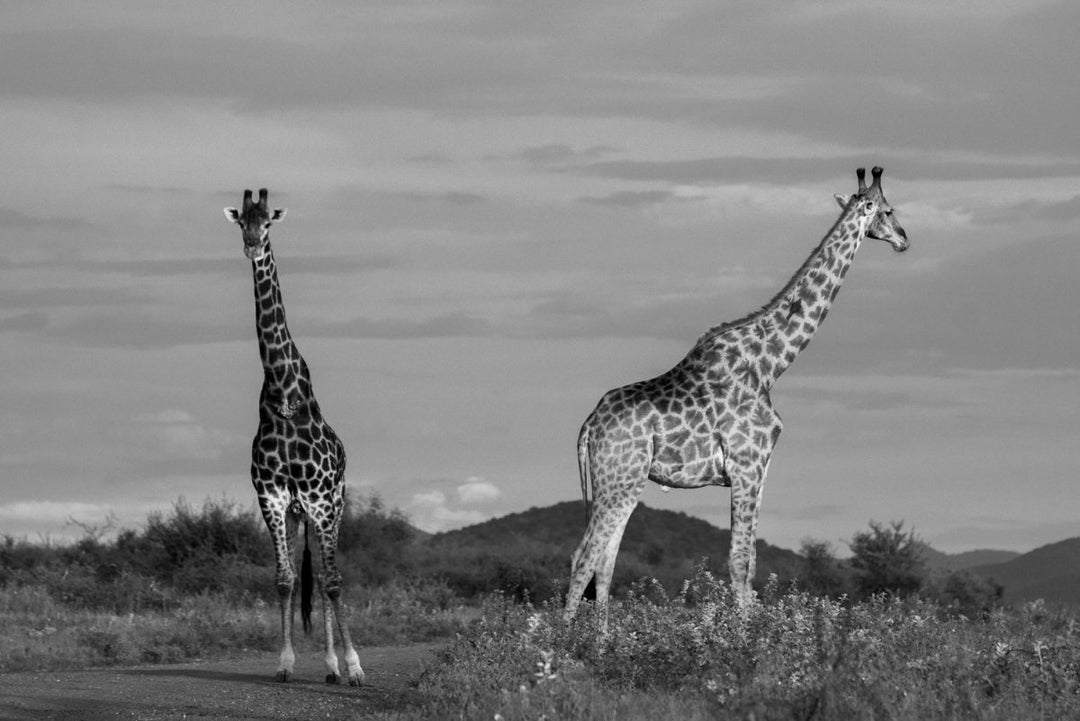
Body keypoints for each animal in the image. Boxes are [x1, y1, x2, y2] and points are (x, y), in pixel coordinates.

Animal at [225, 188, 365, 686]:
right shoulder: (271, 496)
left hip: (333, 507)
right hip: (297, 512)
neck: (284, 393)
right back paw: (326, 666)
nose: (251, 247)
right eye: (241, 222)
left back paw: (337, 667)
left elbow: (333, 581)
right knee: (308, 577)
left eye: (268, 223)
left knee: (325, 579)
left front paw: (355, 667)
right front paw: (284, 663)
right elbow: (285, 579)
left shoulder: (321, 499)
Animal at [565, 165, 911, 626]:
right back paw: (562, 642)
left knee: (604, 562)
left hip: (624, 481)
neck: (772, 364)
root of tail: (588, 426)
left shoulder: (761, 471)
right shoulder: (746, 466)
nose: (905, 238)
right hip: (618, 479)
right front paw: (746, 642)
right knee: (583, 557)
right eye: (888, 210)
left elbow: (751, 565)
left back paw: (603, 641)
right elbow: (739, 562)